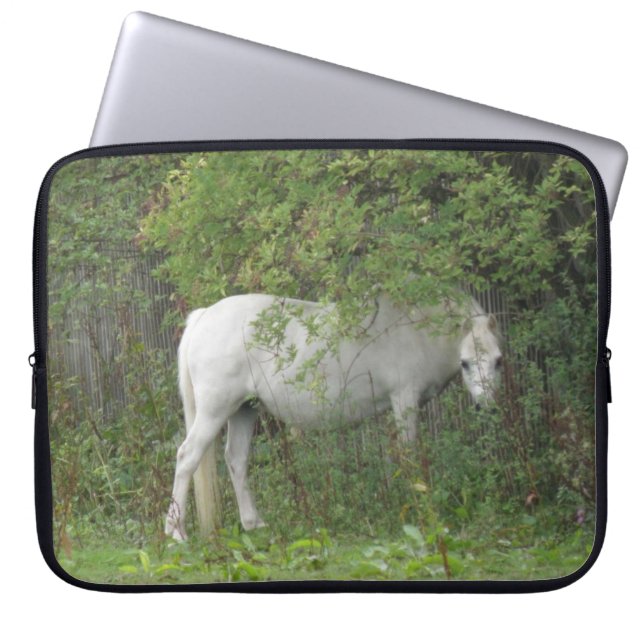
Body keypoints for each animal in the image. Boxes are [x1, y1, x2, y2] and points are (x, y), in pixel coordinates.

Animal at [165, 293, 503, 540]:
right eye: (466, 363)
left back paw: (253, 524)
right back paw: (176, 533)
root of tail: (204, 316)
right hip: (214, 410)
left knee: (236, 459)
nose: (487, 407)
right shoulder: (404, 399)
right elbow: (408, 455)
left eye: (498, 361)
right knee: (187, 456)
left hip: (245, 410)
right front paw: (417, 504)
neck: (415, 329)